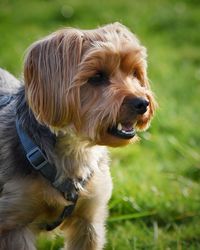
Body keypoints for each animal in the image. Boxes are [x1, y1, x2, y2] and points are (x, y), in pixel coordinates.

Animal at [0, 22, 156, 249]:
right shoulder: (13, 223)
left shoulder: (89, 219)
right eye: (97, 77)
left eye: (134, 73)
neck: (75, 148)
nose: (142, 103)